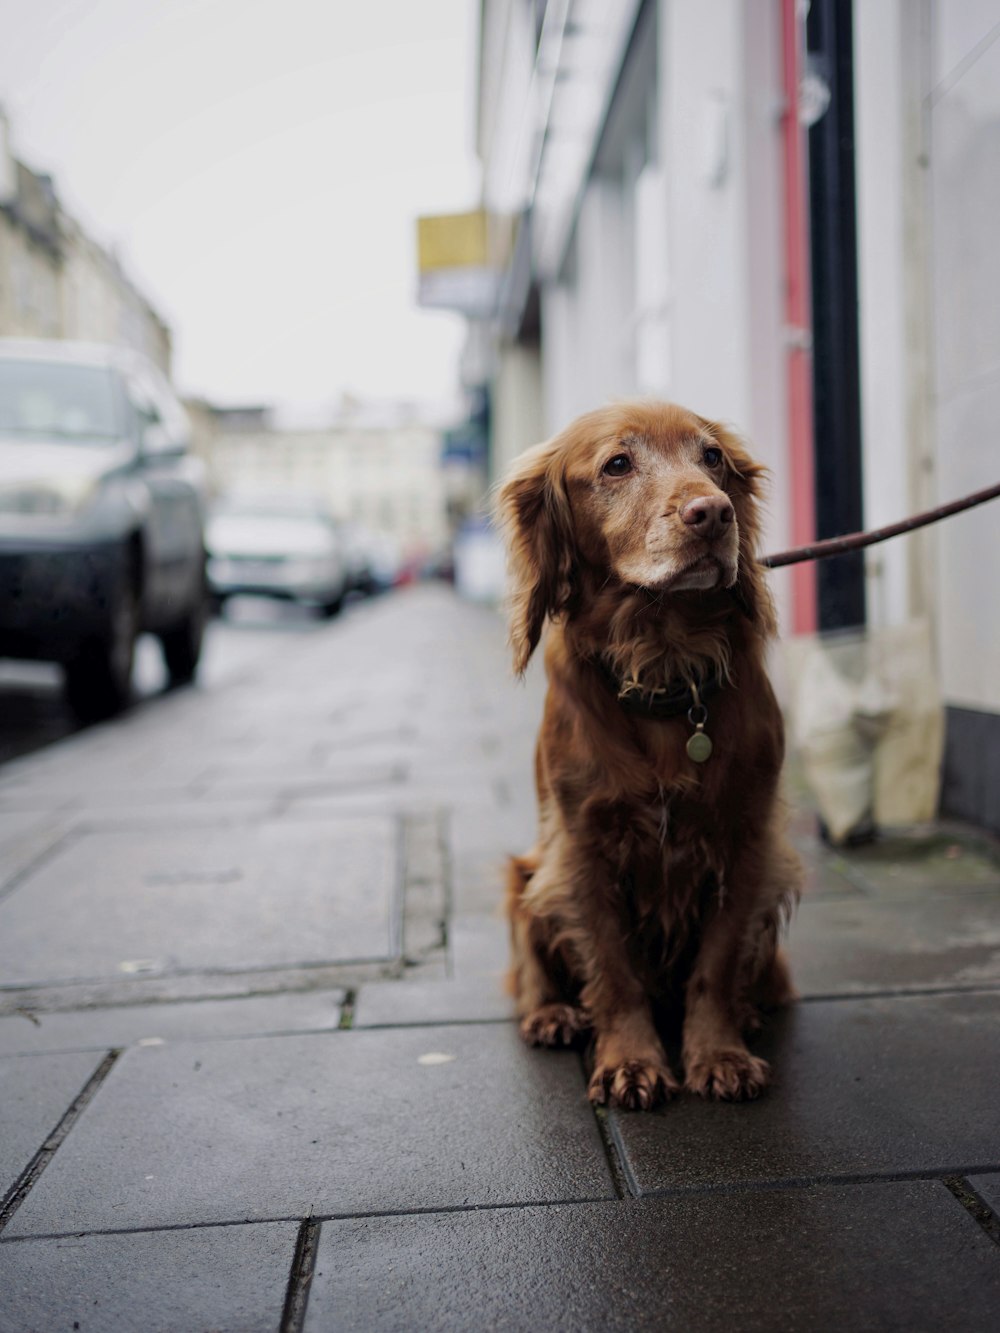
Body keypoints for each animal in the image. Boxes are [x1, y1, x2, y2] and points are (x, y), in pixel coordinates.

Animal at [498, 399, 805, 1109]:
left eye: (712, 457)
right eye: (617, 464)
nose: (713, 513)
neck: (664, 663)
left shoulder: (747, 840)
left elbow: (716, 964)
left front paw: (718, 1054)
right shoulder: (582, 849)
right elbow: (613, 973)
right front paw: (631, 1061)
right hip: (526, 873)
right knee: (530, 965)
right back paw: (552, 1013)